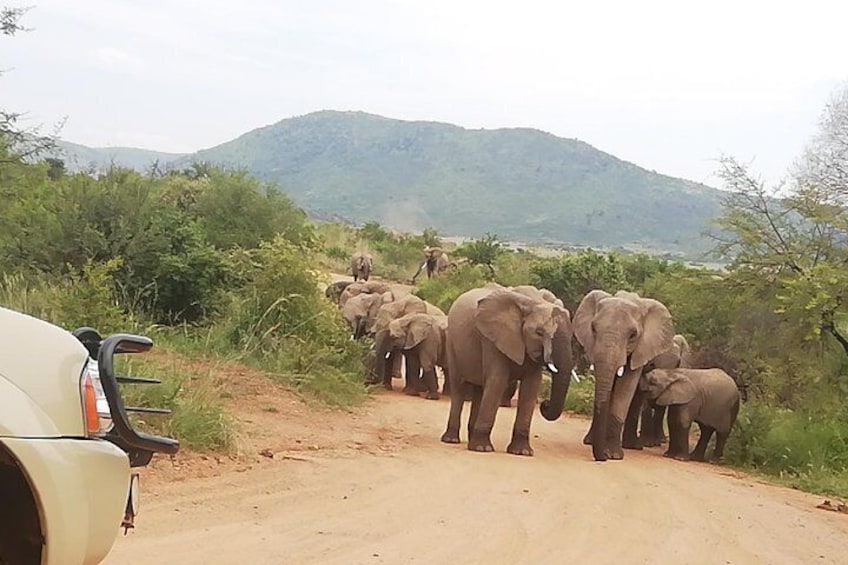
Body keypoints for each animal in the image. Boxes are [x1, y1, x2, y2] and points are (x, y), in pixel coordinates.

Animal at [440, 286, 572, 454]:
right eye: (539, 333)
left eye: (572, 336)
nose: (545, 404)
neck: (532, 301)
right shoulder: (492, 339)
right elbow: (498, 381)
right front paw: (482, 449)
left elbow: (531, 387)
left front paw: (523, 452)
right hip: (452, 342)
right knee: (459, 388)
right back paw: (452, 440)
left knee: (480, 391)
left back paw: (471, 439)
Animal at [568, 288, 676, 460]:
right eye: (593, 328)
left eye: (633, 335)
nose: (601, 458)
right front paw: (596, 445)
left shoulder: (641, 348)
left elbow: (625, 388)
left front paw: (613, 455)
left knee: (637, 396)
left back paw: (632, 446)